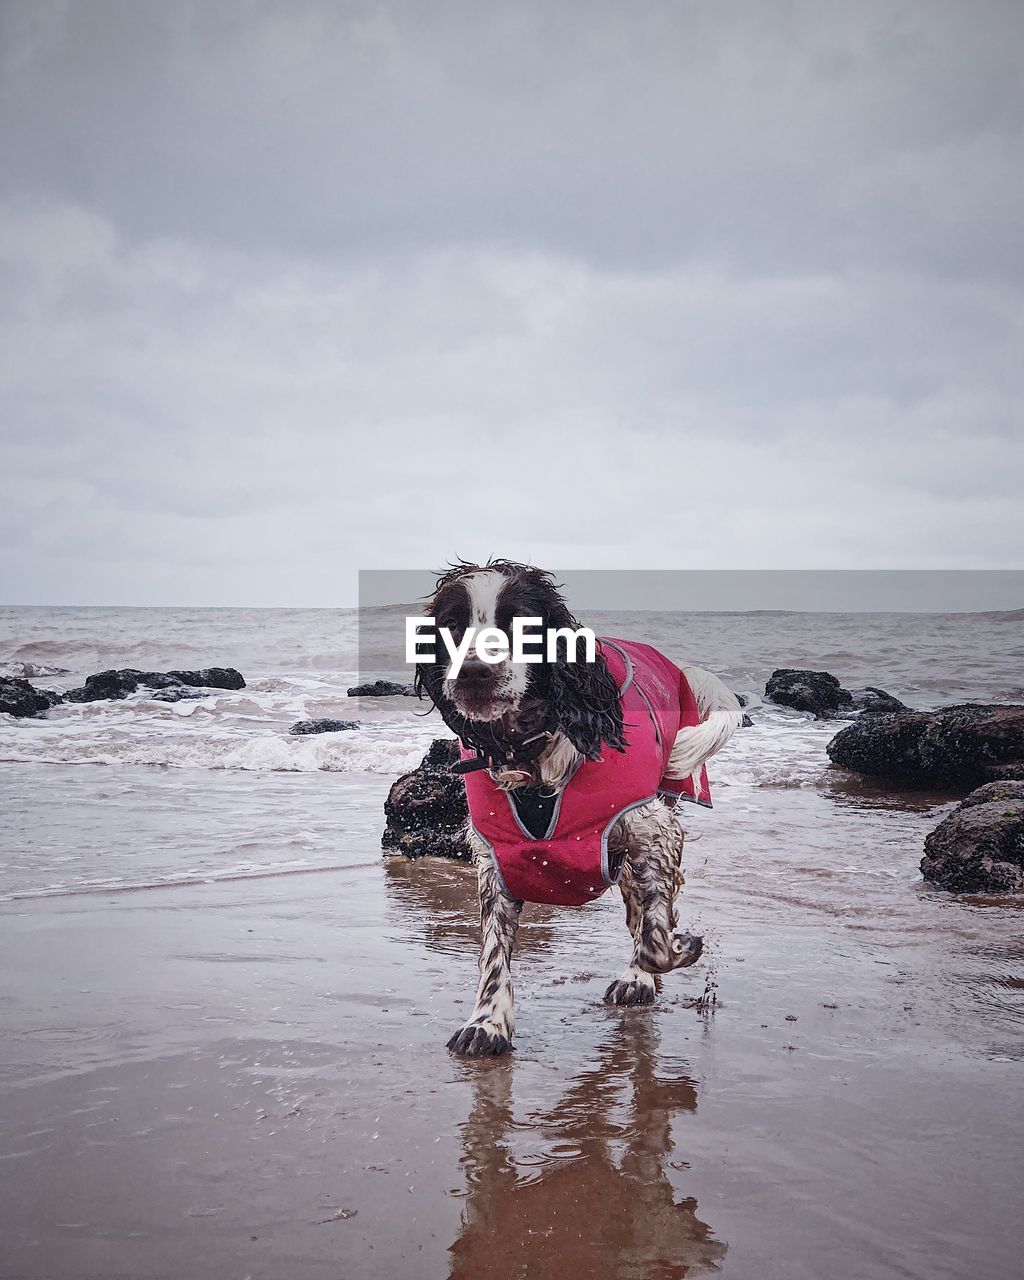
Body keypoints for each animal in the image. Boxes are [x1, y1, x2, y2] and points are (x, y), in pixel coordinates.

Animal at [412, 563, 742, 1059]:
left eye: (524, 624)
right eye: (451, 625)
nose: (473, 672)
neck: (531, 752)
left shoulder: (651, 831)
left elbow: (655, 936)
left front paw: (675, 950)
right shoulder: (495, 856)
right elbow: (494, 950)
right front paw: (487, 1023)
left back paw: (638, 978)